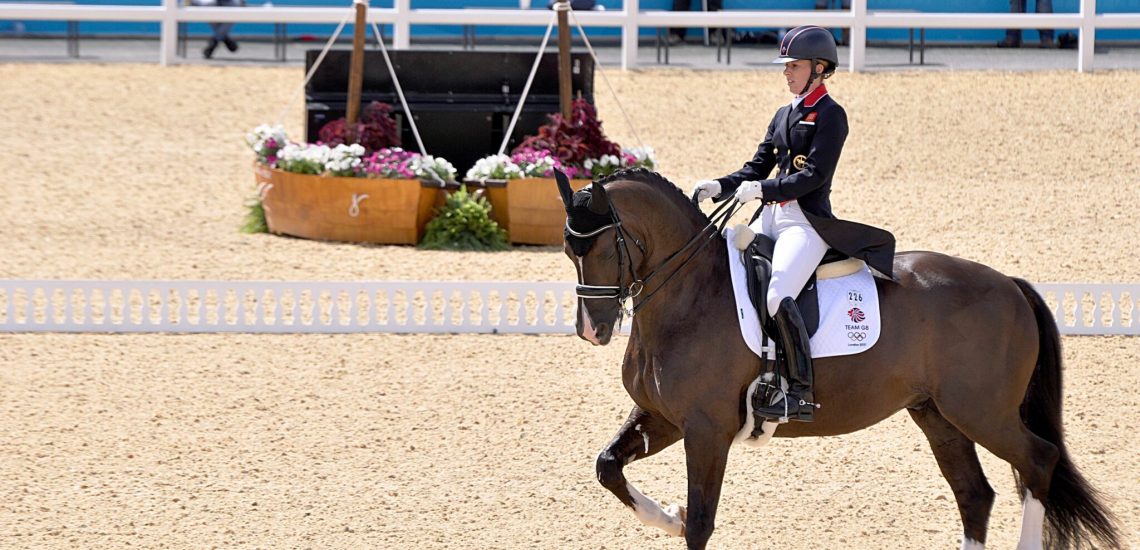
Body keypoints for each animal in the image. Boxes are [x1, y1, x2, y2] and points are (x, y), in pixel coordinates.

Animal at [556, 168, 1117, 550]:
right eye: (568, 250)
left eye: (605, 247)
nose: (591, 330)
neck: (689, 295)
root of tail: (1011, 285)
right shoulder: (665, 418)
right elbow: (609, 467)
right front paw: (666, 515)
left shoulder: (706, 428)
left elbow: (700, 523)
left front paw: (679, 517)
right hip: (938, 415)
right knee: (974, 494)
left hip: (982, 411)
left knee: (1038, 460)